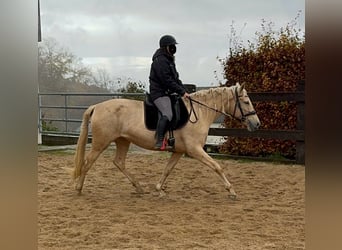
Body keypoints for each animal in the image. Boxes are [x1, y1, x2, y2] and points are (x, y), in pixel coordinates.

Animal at [71, 82, 260, 199]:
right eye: (246, 101)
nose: (257, 124)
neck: (198, 113)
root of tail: (97, 106)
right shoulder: (195, 150)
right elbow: (217, 166)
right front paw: (232, 191)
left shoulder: (179, 151)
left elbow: (167, 170)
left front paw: (159, 190)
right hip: (100, 143)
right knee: (87, 163)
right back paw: (78, 189)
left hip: (122, 141)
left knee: (119, 162)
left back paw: (139, 187)